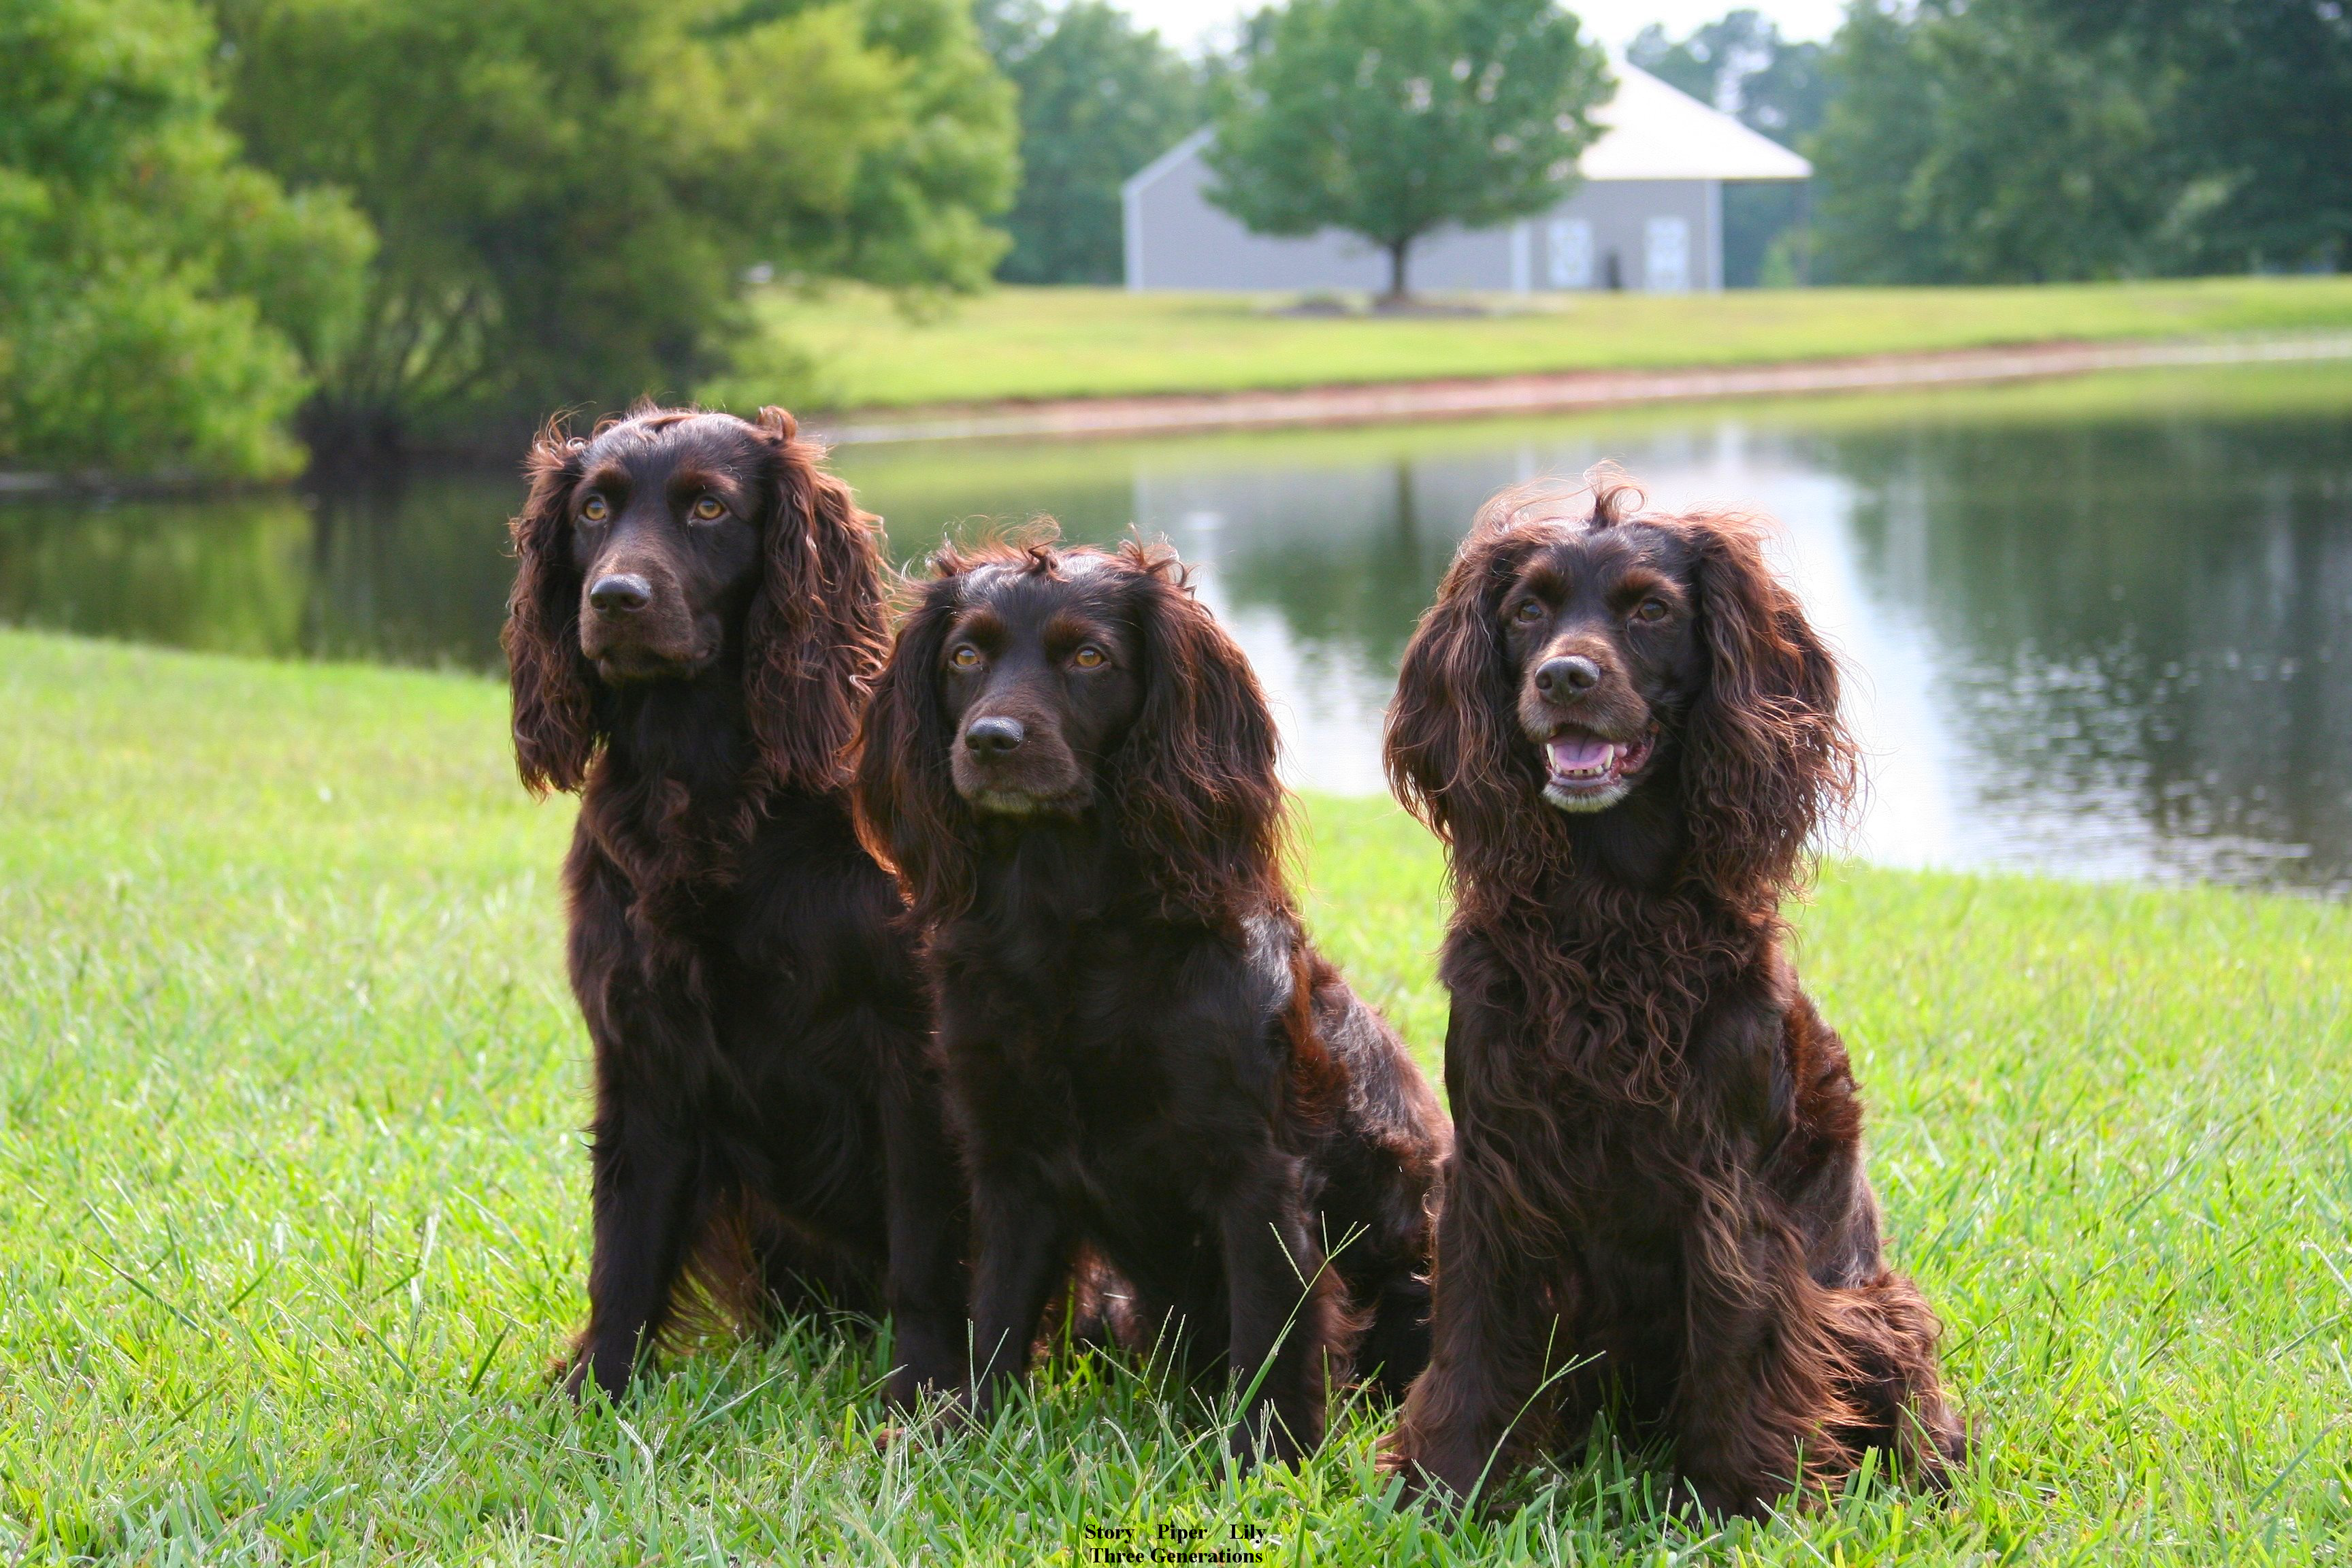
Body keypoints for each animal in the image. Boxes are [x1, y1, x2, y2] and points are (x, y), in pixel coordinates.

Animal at [506, 404, 964, 1410]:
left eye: (709, 508)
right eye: (593, 509)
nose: (616, 597)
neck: (701, 787)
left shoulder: (911, 1053)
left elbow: (928, 1252)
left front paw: (925, 1400)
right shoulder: (641, 1051)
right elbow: (625, 1248)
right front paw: (596, 1390)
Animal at [855, 540, 1439, 1476]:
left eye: (1091, 658)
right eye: (965, 656)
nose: (990, 741)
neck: (1067, 931)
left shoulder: (1257, 1168)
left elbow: (1273, 1333)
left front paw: (1264, 1462)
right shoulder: (1009, 1158)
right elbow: (997, 1311)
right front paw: (957, 1433)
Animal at [1373, 465, 1966, 1523]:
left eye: (1649, 610)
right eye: (1527, 611)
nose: (1564, 678)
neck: (1608, 914)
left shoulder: (1726, 1186)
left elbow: (1737, 1338)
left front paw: (1739, 1505)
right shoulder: (1493, 1164)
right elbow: (1473, 1336)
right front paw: (1445, 1485)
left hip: (1875, 1306)